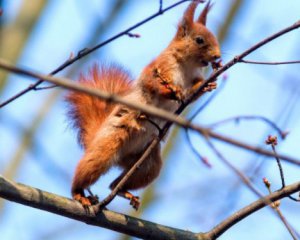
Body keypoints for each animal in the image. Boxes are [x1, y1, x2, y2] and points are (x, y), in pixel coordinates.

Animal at [66, 0, 220, 209]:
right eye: (199, 40)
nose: (217, 56)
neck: (186, 66)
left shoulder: (194, 78)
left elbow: (191, 94)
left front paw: (206, 86)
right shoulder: (158, 67)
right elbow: (151, 84)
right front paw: (169, 90)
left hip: (148, 164)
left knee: (115, 184)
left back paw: (124, 191)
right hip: (108, 145)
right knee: (91, 167)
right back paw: (79, 193)